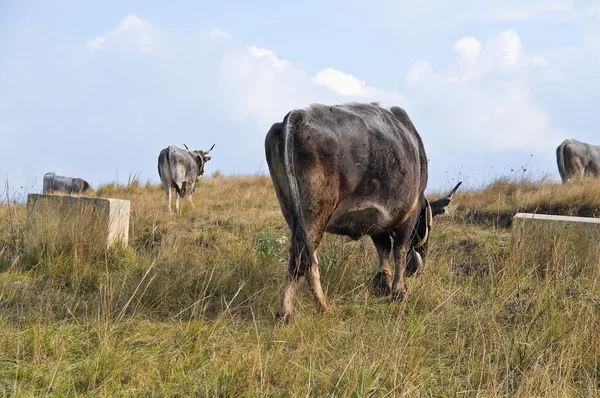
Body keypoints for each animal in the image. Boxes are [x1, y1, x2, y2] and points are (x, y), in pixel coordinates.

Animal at [264, 102, 462, 320]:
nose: (418, 270)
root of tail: (299, 115)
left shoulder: (375, 220)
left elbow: (383, 247)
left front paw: (383, 284)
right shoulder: (409, 213)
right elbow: (399, 250)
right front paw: (399, 291)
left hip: (291, 210)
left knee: (306, 257)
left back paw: (307, 308)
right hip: (315, 212)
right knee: (301, 258)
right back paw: (298, 310)